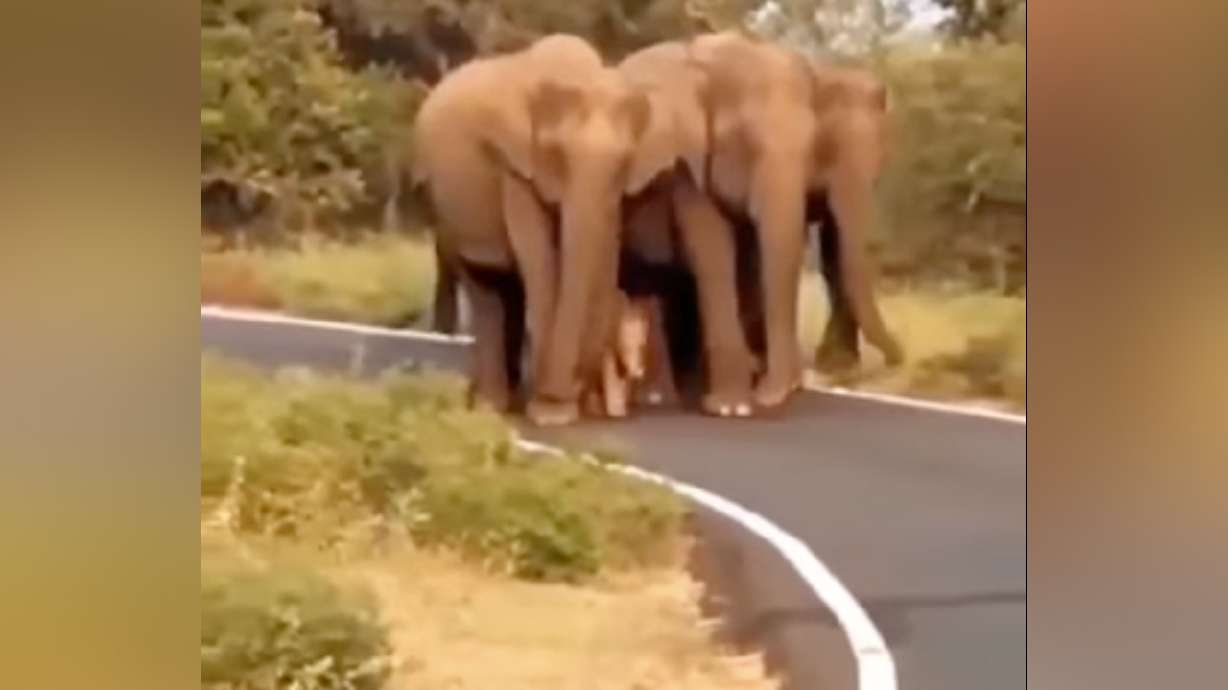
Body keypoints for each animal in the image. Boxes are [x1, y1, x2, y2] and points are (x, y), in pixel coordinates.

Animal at [411, 34, 685, 423]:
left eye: (623, 163)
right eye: (556, 154)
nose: (575, 386)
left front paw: (573, 406)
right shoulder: (516, 170)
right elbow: (540, 264)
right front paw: (552, 413)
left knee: (503, 290)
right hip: (446, 210)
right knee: (484, 288)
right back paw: (491, 405)